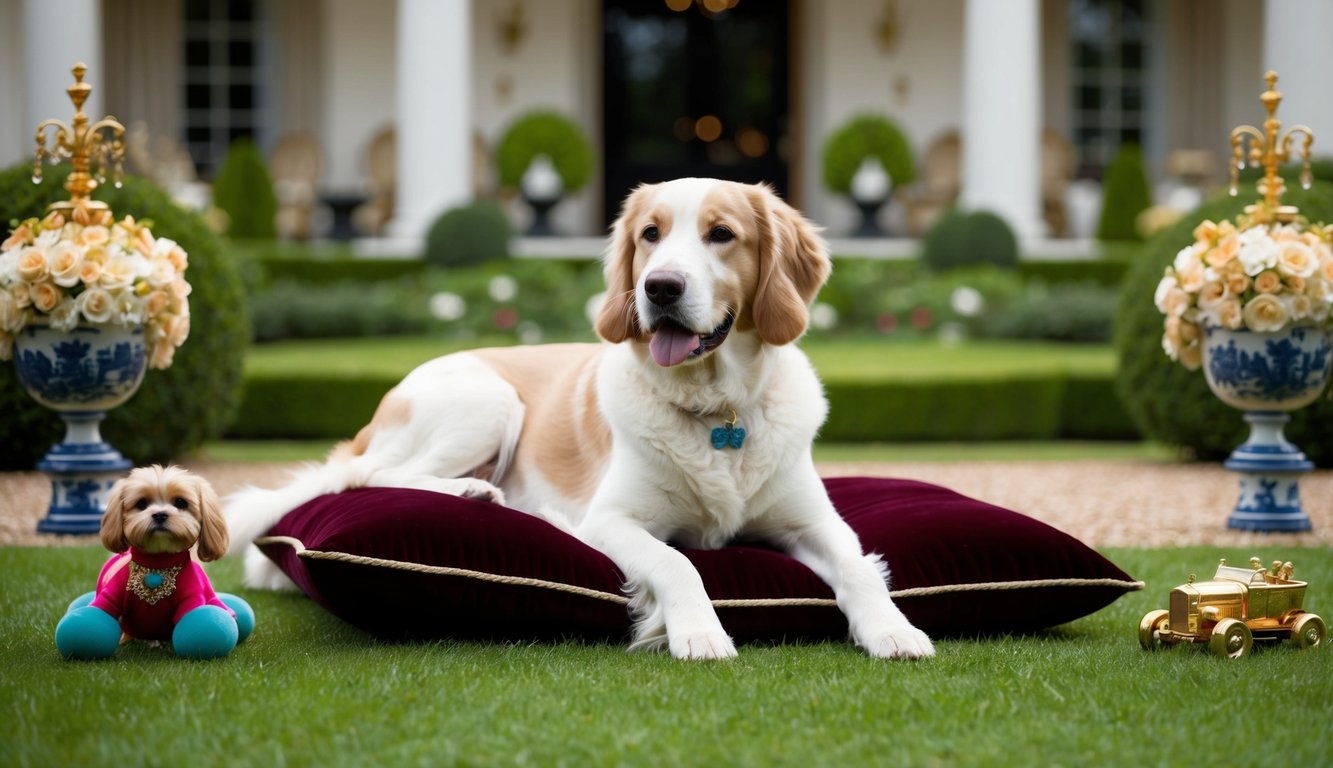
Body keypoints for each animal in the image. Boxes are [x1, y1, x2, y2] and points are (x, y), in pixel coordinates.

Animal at [223, 178, 933, 661]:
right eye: (650, 235)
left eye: (722, 234)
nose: (660, 288)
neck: (716, 410)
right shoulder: (612, 522)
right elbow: (680, 564)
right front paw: (700, 631)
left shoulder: (815, 521)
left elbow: (858, 568)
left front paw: (893, 629)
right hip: (487, 401)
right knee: (369, 478)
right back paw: (475, 493)